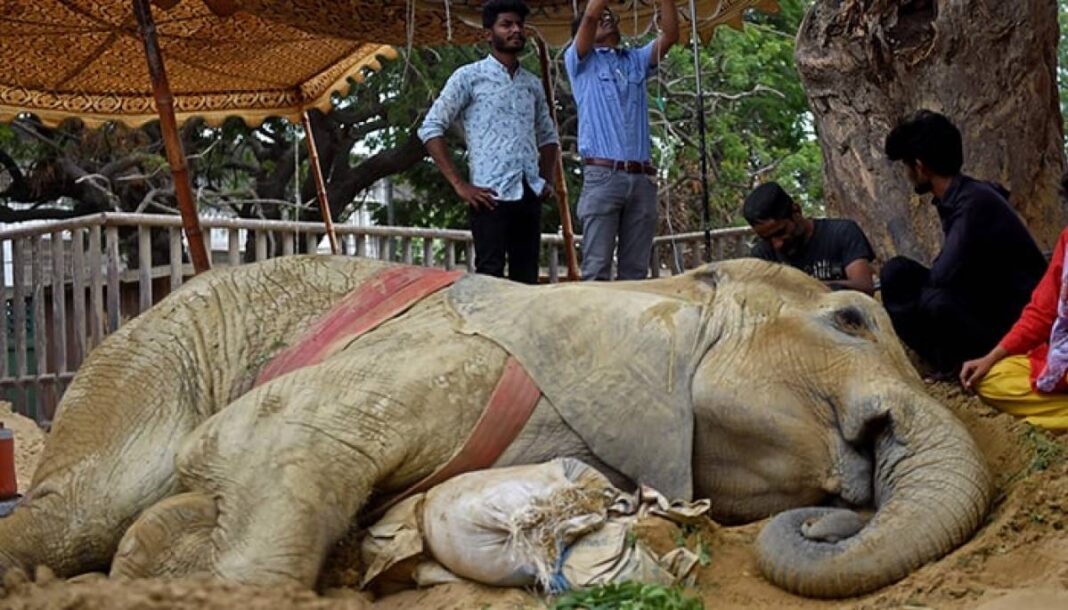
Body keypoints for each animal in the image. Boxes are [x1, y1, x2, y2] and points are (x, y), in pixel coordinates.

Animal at [0, 255, 991, 598]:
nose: (830, 518)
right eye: (852, 318)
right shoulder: (462, 356)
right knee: (81, 508)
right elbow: (280, 431)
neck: (660, 287)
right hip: (149, 355)